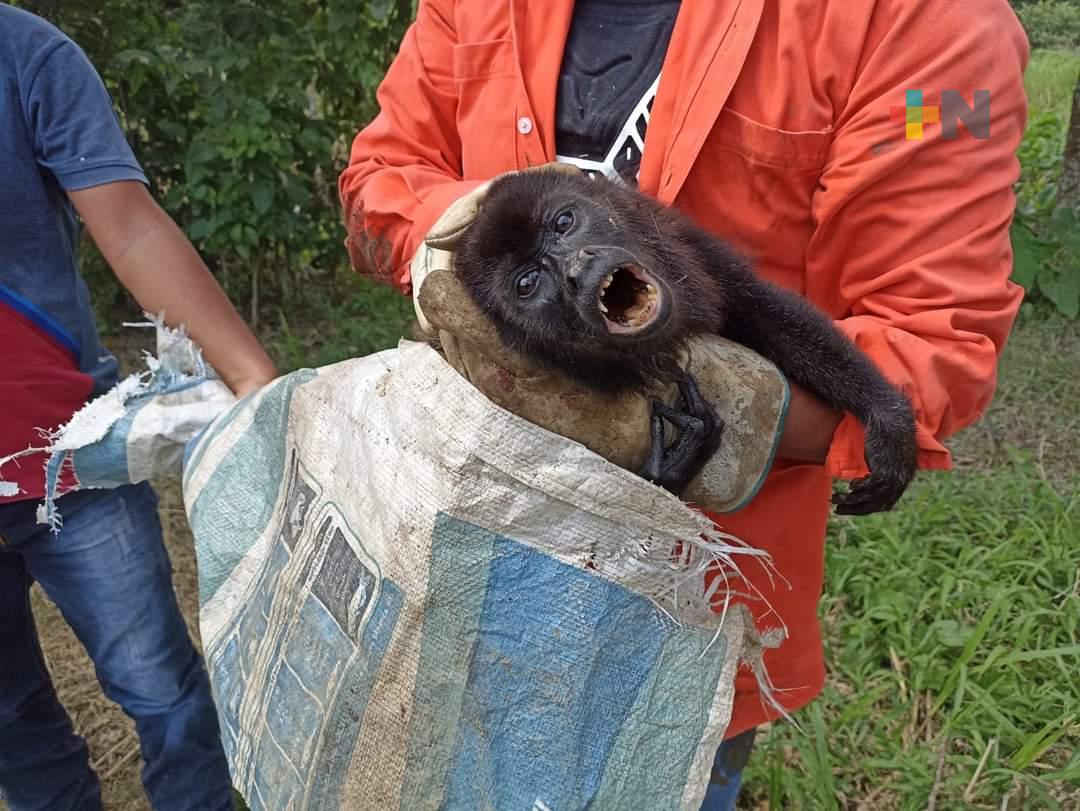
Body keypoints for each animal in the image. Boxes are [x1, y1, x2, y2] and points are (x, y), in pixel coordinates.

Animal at [451, 168, 915, 516]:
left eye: (563, 223)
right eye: (527, 284)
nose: (575, 271)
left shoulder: (692, 249)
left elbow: (768, 312)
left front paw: (887, 417)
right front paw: (680, 458)